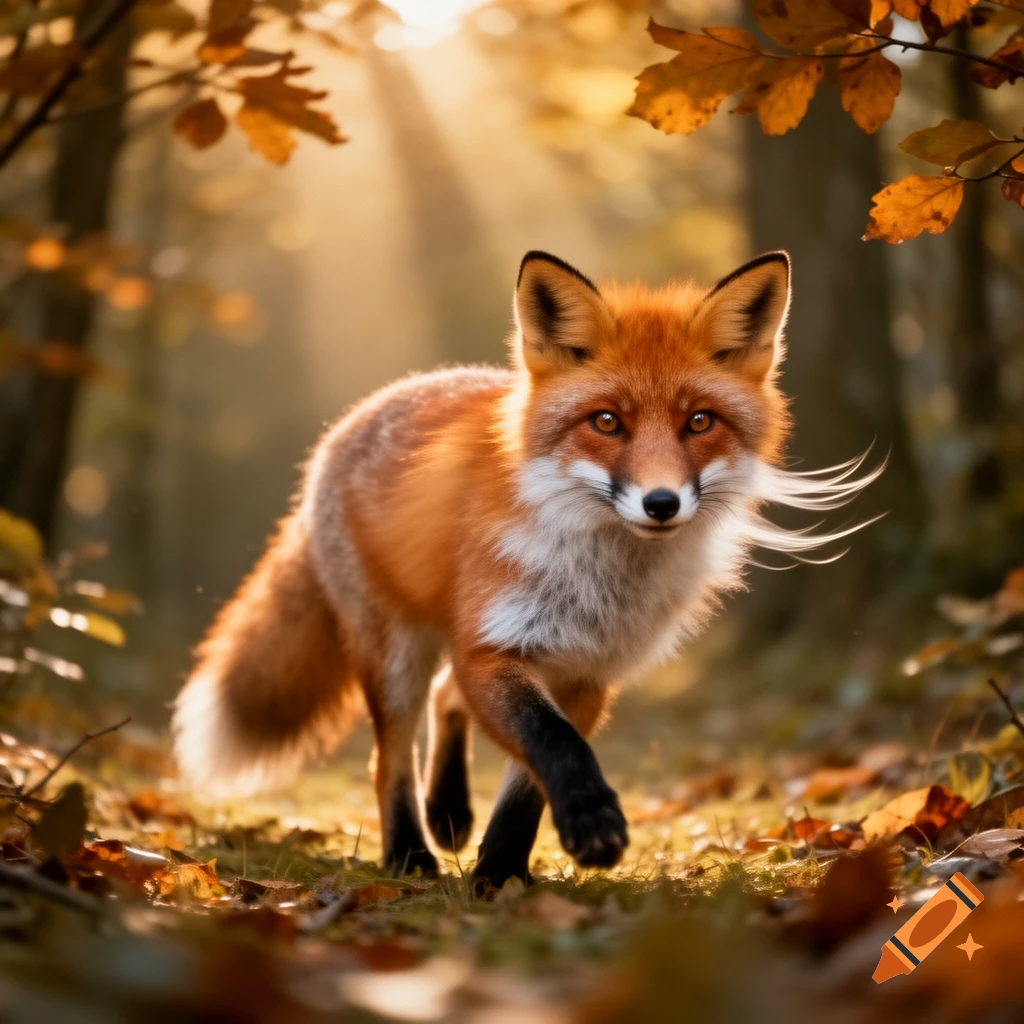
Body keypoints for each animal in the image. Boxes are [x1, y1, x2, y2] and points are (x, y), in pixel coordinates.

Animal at [173, 249, 879, 890]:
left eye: (699, 421)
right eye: (606, 422)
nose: (661, 503)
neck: (601, 580)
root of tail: (358, 416)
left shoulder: (587, 671)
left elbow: (528, 784)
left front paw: (502, 873)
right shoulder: (495, 647)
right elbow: (552, 742)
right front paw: (585, 825)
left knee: (443, 697)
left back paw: (449, 812)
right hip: (395, 651)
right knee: (387, 756)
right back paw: (409, 854)